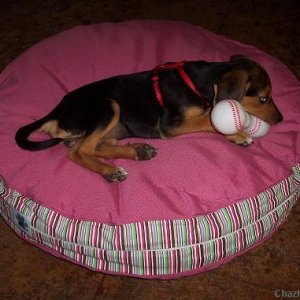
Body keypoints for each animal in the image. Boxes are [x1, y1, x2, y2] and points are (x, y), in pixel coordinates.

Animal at [15, 56, 284, 183]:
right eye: (263, 98)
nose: (281, 119)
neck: (199, 82)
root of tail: (56, 112)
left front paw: (235, 135)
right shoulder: (171, 125)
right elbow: (208, 120)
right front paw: (239, 132)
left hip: (115, 126)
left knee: (95, 146)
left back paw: (137, 151)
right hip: (108, 106)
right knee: (78, 151)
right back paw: (110, 171)